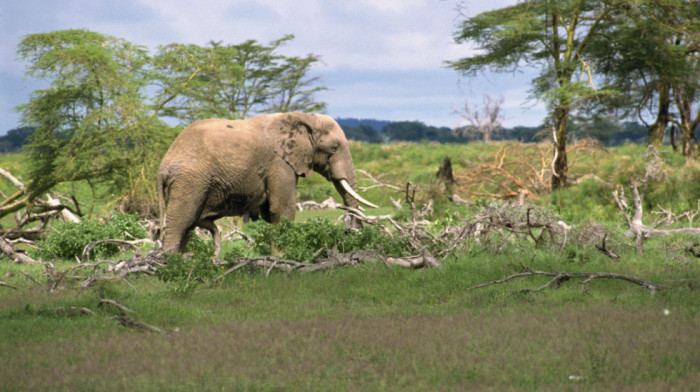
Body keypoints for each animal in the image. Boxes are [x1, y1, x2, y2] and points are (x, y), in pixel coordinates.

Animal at [157, 112, 378, 256]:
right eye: (334, 148)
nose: (349, 232)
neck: (304, 117)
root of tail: (162, 167)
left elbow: (270, 213)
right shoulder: (280, 163)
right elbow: (282, 209)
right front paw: (282, 259)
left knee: (187, 225)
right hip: (189, 181)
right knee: (181, 222)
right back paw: (170, 267)